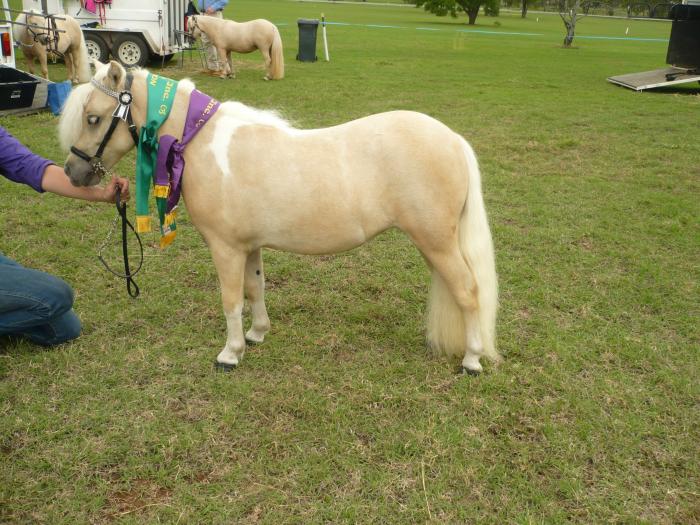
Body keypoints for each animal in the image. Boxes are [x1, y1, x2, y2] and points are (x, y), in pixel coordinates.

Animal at [58, 61, 499, 374]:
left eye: (94, 118)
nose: (73, 173)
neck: (200, 142)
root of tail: (453, 140)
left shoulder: (225, 248)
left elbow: (231, 299)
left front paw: (230, 353)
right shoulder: (249, 246)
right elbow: (255, 289)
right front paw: (256, 334)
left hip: (436, 242)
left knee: (468, 291)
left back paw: (472, 360)